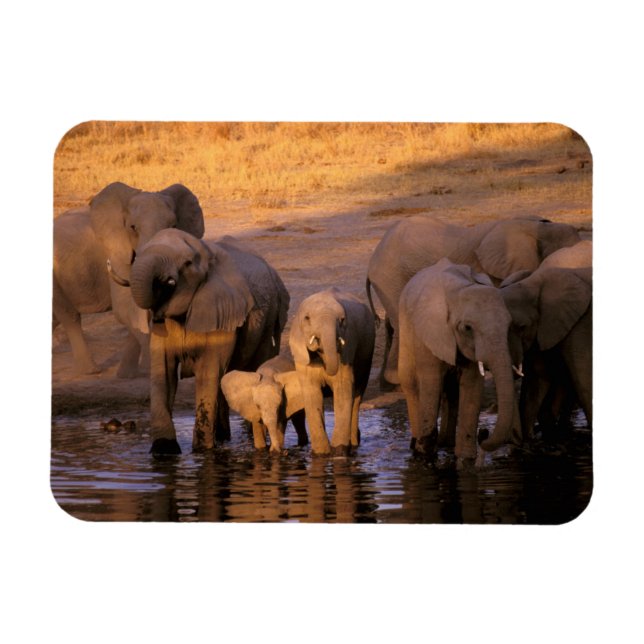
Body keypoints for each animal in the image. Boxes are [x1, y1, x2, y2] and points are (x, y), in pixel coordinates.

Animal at [53, 181, 204, 377]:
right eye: (133, 228)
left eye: (174, 225)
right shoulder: (116, 251)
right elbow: (126, 308)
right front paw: (149, 368)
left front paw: (127, 374)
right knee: (69, 315)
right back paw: (90, 371)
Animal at [126, 228, 290, 455]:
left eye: (187, 263)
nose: (165, 281)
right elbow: (163, 370)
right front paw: (164, 451)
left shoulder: (222, 310)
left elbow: (208, 371)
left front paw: (202, 451)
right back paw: (222, 438)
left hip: (270, 319)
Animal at [289, 288, 376, 456]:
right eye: (307, 318)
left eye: (342, 320)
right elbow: (313, 395)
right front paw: (321, 454)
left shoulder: (347, 348)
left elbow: (342, 390)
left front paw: (338, 452)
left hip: (367, 355)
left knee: (357, 396)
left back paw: (354, 443)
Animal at [397, 258, 523, 466]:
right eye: (467, 328)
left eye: (509, 325)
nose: (484, 433)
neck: (458, 290)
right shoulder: (429, 334)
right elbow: (431, 383)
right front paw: (425, 459)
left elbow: (471, 385)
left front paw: (465, 461)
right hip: (405, 327)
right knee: (411, 384)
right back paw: (415, 445)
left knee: (451, 390)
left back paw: (446, 443)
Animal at [500, 264, 592, 440]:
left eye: (521, 327)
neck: (534, 282)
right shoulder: (544, 329)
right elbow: (539, 378)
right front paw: (529, 439)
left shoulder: (581, 322)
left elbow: (584, 378)